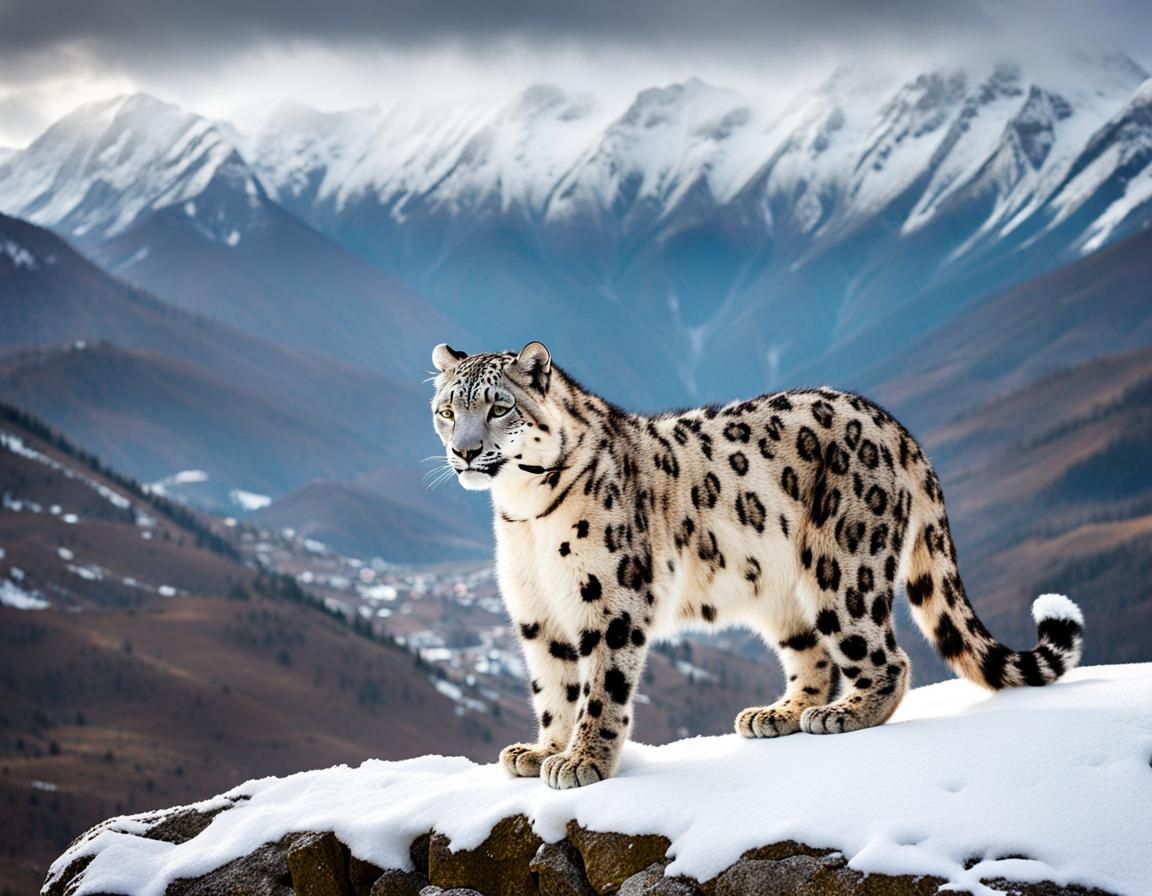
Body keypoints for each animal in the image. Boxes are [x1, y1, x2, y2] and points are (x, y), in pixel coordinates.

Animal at [429, 341, 1084, 789]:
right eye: (446, 410)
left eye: (499, 407)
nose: (463, 451)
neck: (523, 513)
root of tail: (893, 425)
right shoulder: (538, 615)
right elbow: (553, 688)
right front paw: (544, 749)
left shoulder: (610, 601)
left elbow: (600, 687)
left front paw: (582, 760)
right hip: (780, 591)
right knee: (813, 656)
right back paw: (778, 714)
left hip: (844, 570)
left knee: (887, 659)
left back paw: (841, 715)